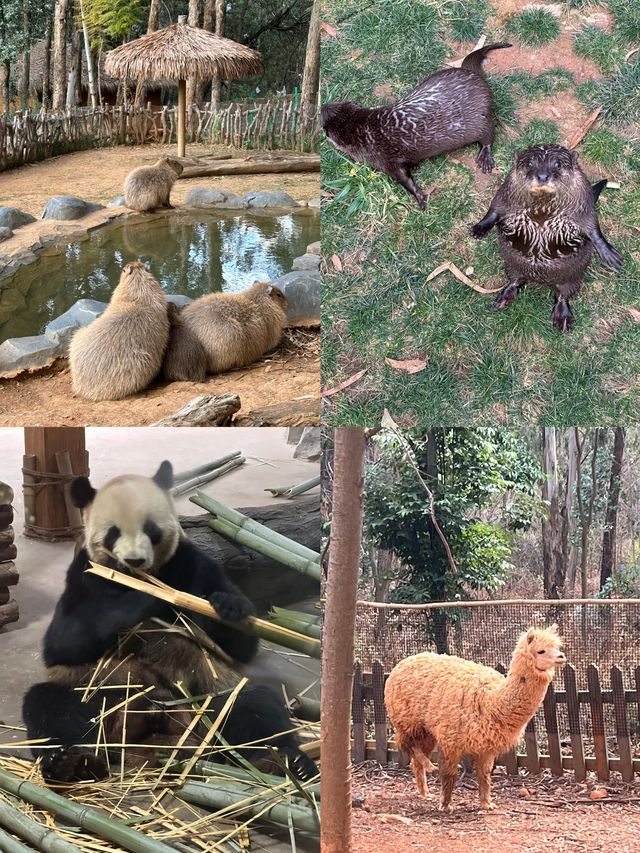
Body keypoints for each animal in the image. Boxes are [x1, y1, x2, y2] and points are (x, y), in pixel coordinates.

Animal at [22, 462, 318, 784]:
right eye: (114, 532)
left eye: (150, 528)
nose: (135, 560)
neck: (141, 577)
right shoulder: (84, 575)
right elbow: (64, 642)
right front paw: (145, 600)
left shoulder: (193, 563)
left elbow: (240, 645)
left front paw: (228, 606)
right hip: (95, 693)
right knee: (52, 708)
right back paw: (72, 763)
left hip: (207, 699)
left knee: (252, 706)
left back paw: (284, 762)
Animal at [322, 42, 512, 208]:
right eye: (336, 103)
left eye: (323, 126)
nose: (322, 107)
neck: (368, 131)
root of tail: (474, 75)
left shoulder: (385, 159)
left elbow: (403, 178)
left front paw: (419, 197)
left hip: (481, 120)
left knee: (488, 134)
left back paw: (485, 157)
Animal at [468, 145, 624, 332]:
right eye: (529, 164)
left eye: (557, 164)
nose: (542, 176)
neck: (542, 214)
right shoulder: (505, 193)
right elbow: (493, 211)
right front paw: (478, 229)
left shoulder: (585, 206)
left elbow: (593, 229)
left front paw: (611, 256)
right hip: (512, 267)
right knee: (515, 281)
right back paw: (503, 299)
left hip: (573, 278)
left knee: (563, 295)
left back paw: (562, 318)